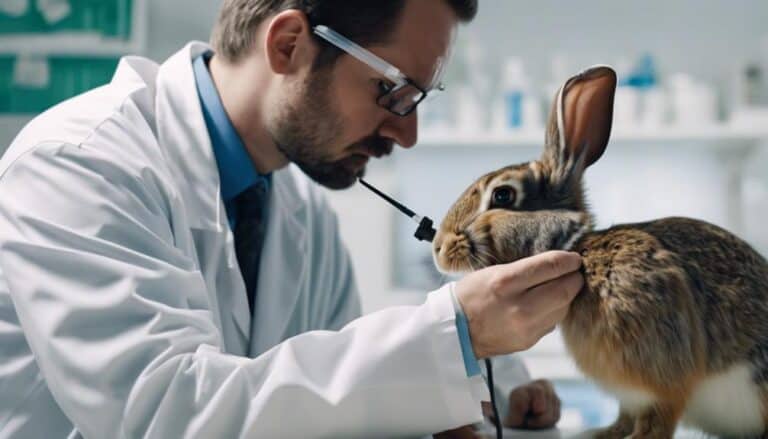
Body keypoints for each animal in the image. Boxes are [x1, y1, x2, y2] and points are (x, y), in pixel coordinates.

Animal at [431, 65, 768, 439]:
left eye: (503, 195)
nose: (438, 247)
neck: (580, 253)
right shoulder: (631, 394)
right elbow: (625, 416)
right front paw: (600, 433)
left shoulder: (664, 381)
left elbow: (658, 421)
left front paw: (633, 438)